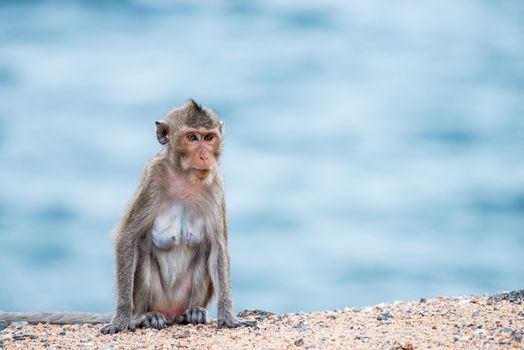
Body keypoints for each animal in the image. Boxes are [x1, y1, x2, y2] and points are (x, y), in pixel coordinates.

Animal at [0, 98, 254, 330]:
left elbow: (218, 247)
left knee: (203, 252)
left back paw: (192, 312)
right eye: (192, 138)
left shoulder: (215, 183)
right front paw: (121, 319)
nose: (204, 156)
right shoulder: (152, 179)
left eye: (209, 138)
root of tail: (171, 313)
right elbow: (128, 239)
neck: (185, 177)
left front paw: (228, 316)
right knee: (143, 252)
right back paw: (143, 317)